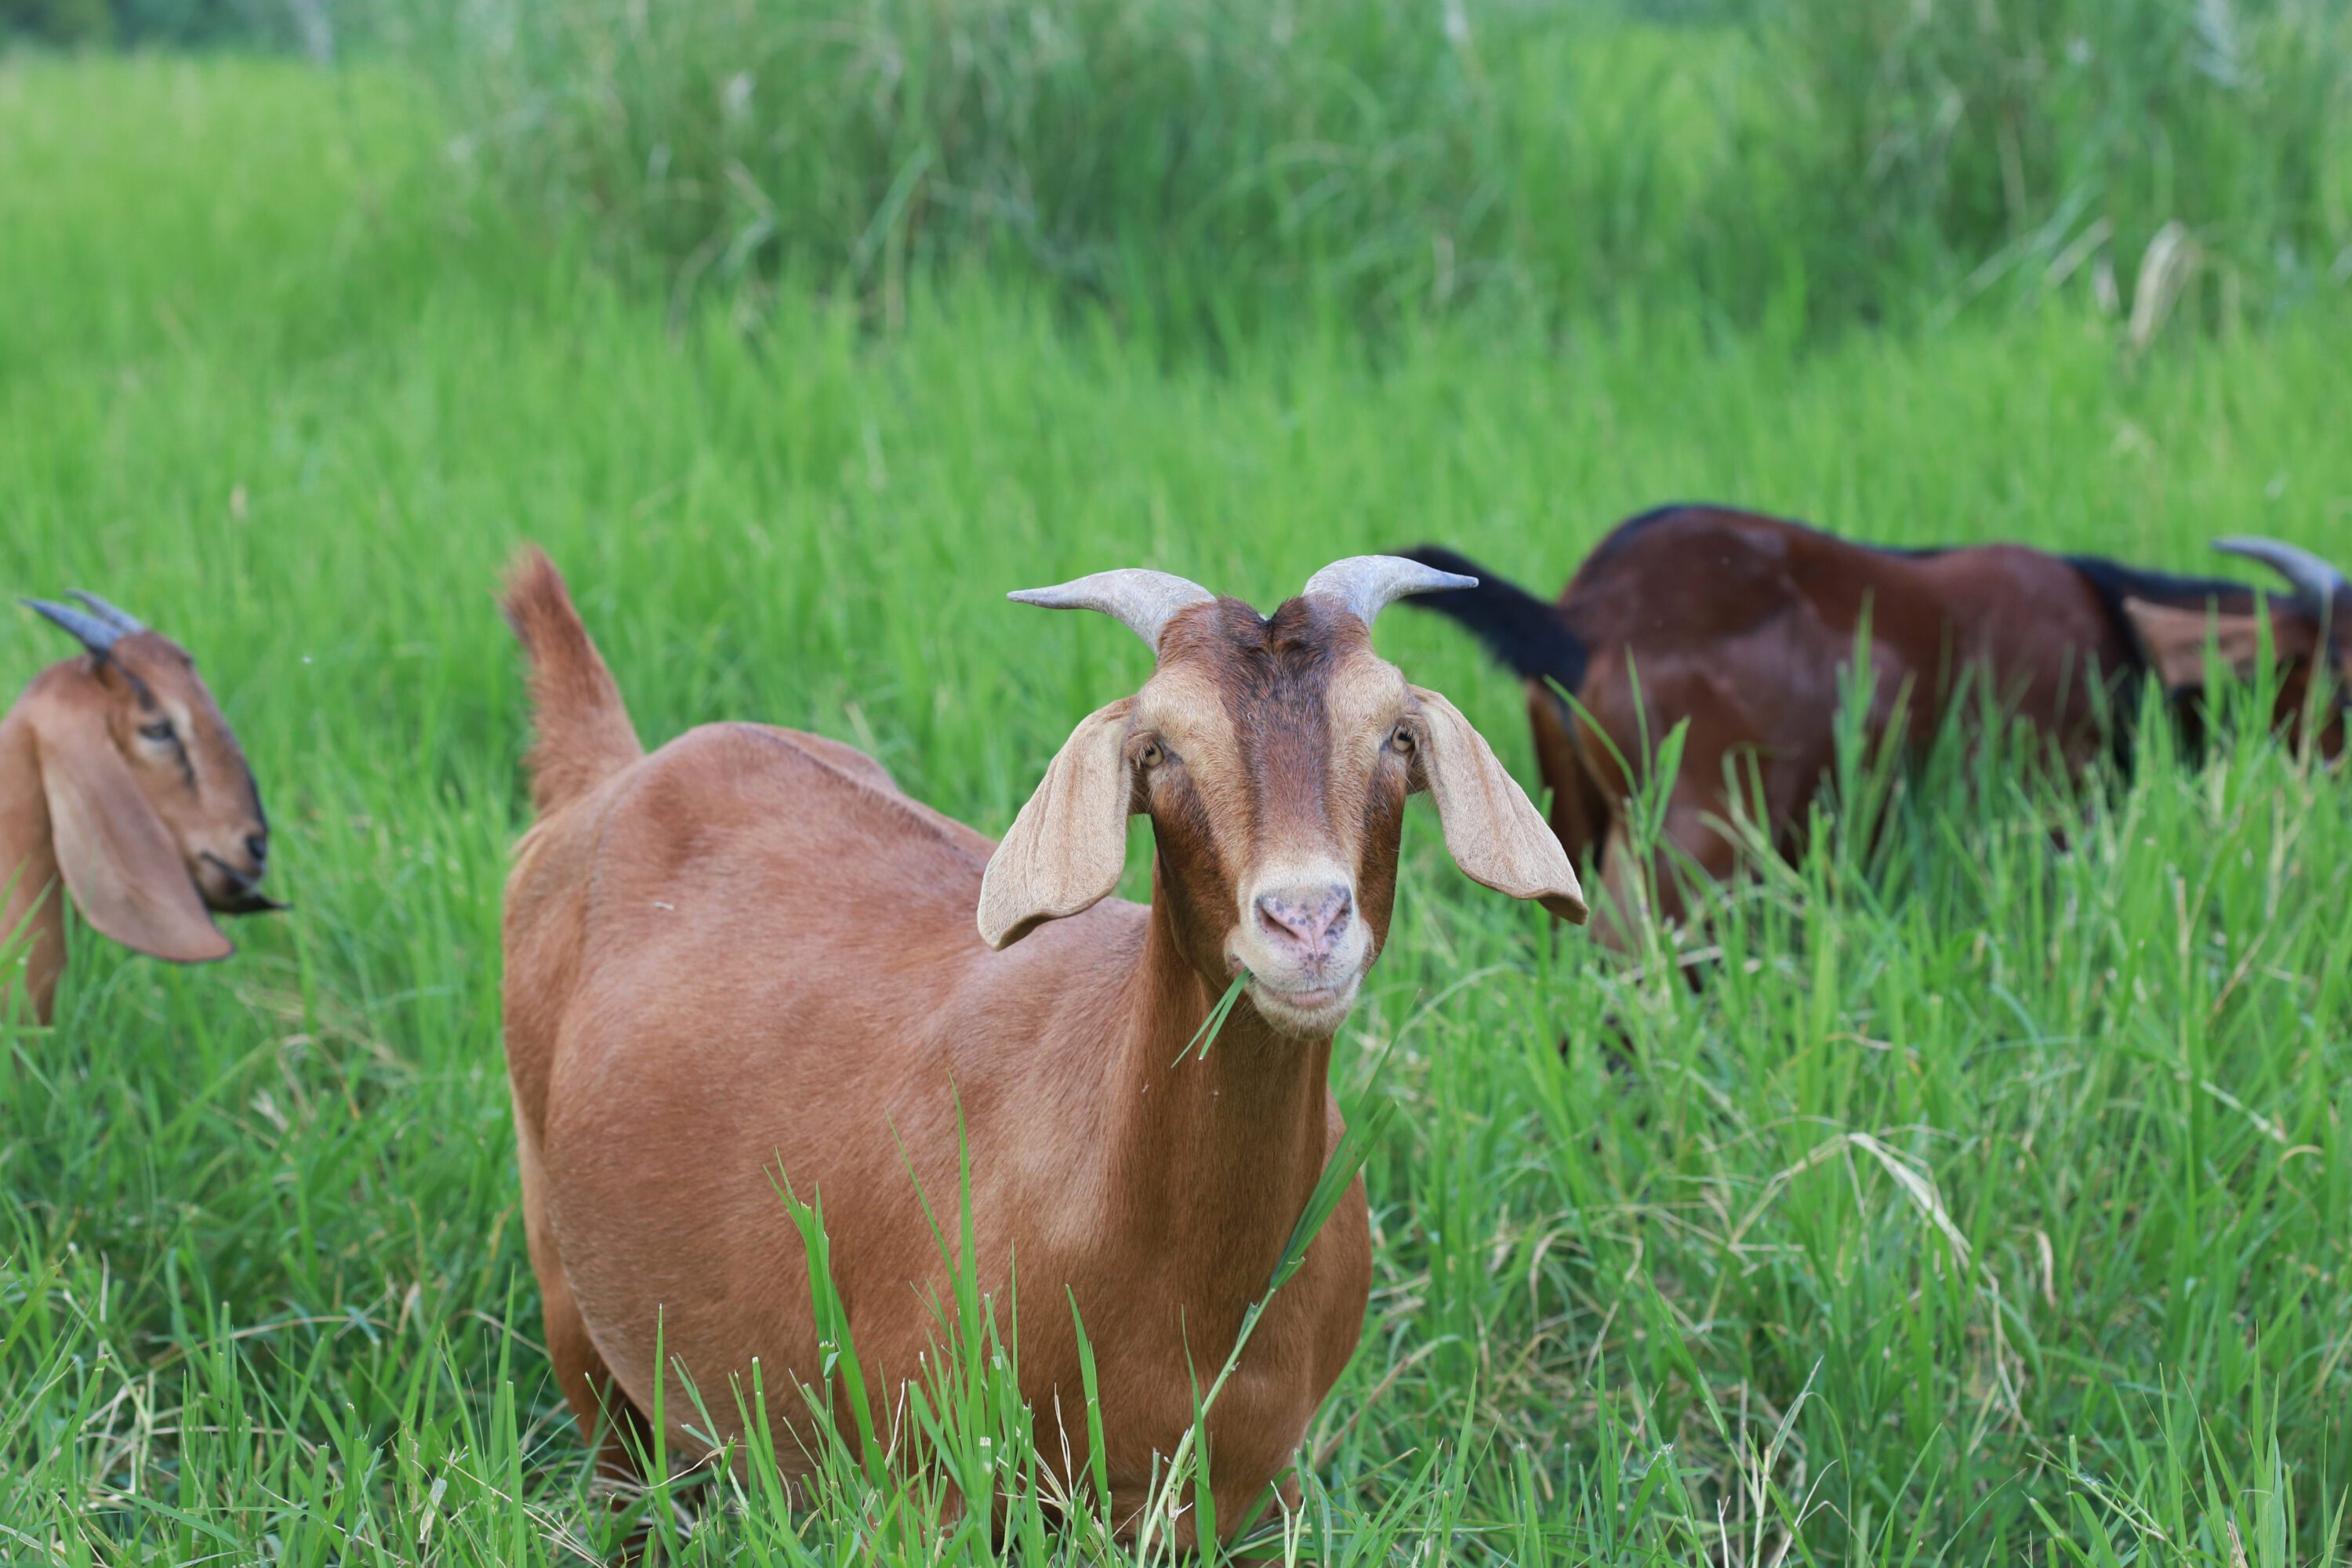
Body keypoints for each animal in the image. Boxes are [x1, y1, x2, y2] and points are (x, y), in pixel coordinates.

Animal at [498, 548, 1583, 1538]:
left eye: (1397, 733)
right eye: (1158, 748)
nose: (1307, 922)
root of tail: (614, 776)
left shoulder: (1252, 1494)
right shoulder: (927, 1474)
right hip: (573, 1305)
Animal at [1401, 507, 2347, 944]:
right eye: (2341, 675)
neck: (2118, 631)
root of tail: (1583, 618)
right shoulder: (2053, 805)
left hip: (1570, 817)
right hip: (1696, 846)